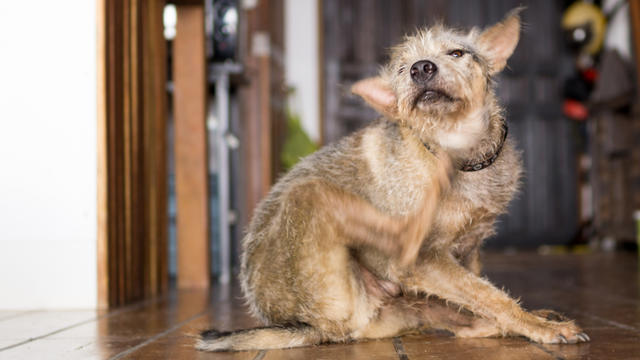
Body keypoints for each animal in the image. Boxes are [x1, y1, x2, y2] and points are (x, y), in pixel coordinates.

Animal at [196, 9, 592, 352]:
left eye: (457, 52)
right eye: (402, 68)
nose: (421, 68)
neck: (459, 153)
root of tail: (306, 326)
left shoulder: (469, 251)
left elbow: (480, 293)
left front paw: (531, 320)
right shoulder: (429, 261)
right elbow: (487, 295)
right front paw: (539, 327)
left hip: (409, 304)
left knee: (469, 322)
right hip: (314, 203)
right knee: (404, 247)